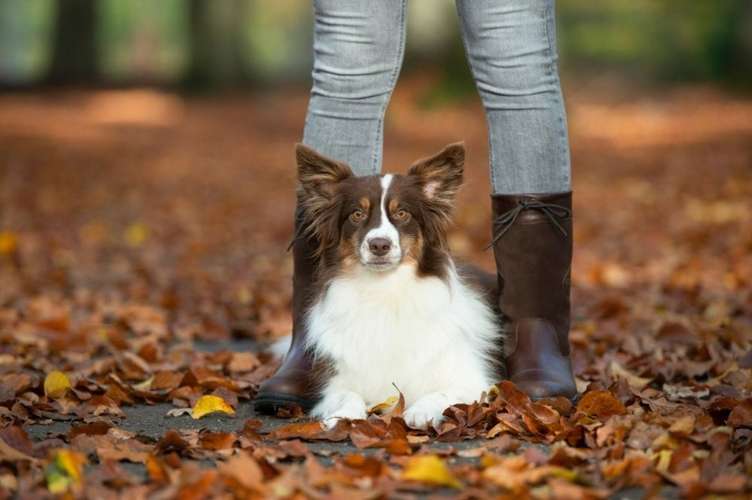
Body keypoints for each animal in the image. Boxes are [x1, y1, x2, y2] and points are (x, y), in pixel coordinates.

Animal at [284, 142, 502, 430]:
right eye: (357, 214)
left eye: (402, 213)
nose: (379, 245)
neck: (384, 290)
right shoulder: (336, 382)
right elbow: (347, 394)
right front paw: (344, 415)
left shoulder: (473, 381)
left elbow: (442, 393)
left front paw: (421, 411)